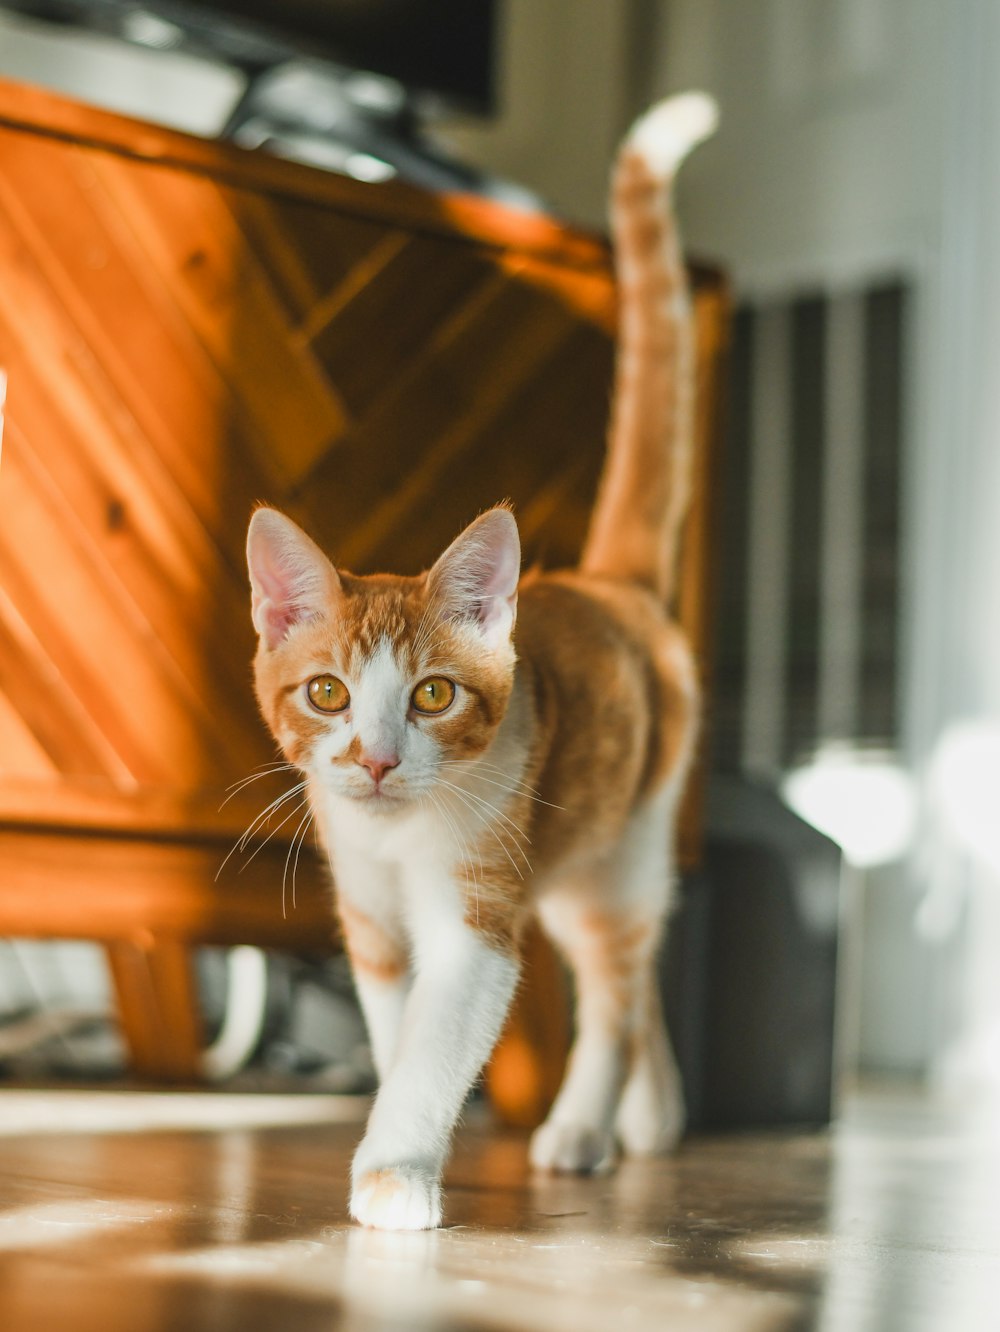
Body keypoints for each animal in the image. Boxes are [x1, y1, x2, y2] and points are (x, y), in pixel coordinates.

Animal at [245, 93, 713, 1230]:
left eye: (432, 694)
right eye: (326, 692)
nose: (373, 761)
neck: (399, 833)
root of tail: (608, 581)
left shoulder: (478, 910)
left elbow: (438, 1039)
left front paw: (395, 1173)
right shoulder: (370, 914)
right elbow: (394, 1029)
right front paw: (394, 1140)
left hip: (620, 842)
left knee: (619, 985)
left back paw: (588, 1126)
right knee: (638, 974)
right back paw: (653, 1114)